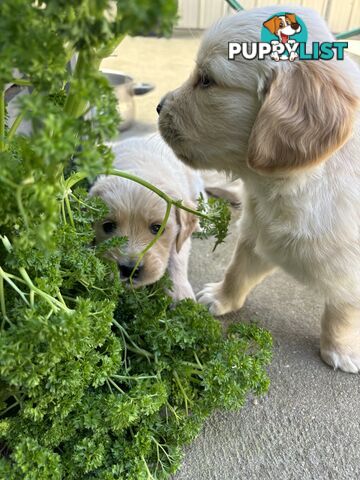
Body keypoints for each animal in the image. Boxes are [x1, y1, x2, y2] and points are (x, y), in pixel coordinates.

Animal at [159, 3, 360, 374]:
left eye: (207, 80)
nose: (157, 107)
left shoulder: (350, 272)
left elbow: (344, 310)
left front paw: (340, 349)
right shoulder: (257, 232)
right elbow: (238, 270)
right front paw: (222, 298)